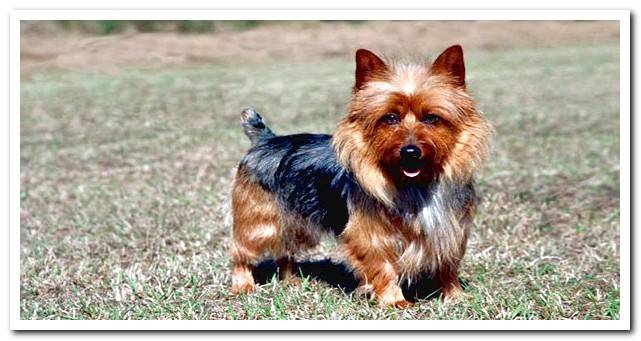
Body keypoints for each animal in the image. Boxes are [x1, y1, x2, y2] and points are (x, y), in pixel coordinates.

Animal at [229, 45, 490, 306]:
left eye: (432, 118)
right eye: (390, 118)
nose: (410, 151)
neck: (416, 183)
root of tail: (266, 139)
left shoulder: (450, 228)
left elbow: (448, 265)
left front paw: (455, 295)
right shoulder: (371, 235)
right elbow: (384, 267)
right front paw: (395, 301)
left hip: (298, 222)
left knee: (285, 249)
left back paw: (290, 280)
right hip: (260, 221)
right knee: (242, 251)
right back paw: (243, 284)